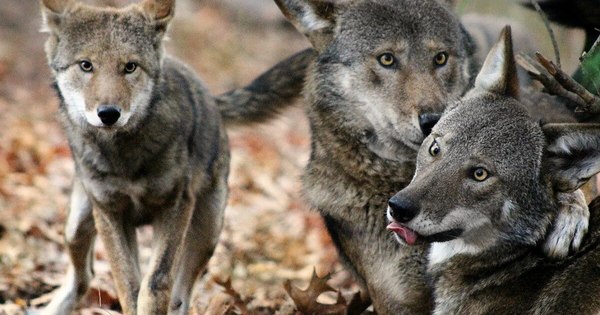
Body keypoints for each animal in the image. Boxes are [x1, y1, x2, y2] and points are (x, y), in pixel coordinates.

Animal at [38, 0, 310, 314]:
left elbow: (155, 283)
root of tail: (211, 99)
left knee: (181, 295)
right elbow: (129, 285)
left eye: (130, 67)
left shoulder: (175, 205)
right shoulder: (109, 211)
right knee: (83, 276)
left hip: (207, 231)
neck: (124, 157)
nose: (108, 114)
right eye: (86, 65)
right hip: (77, 226)